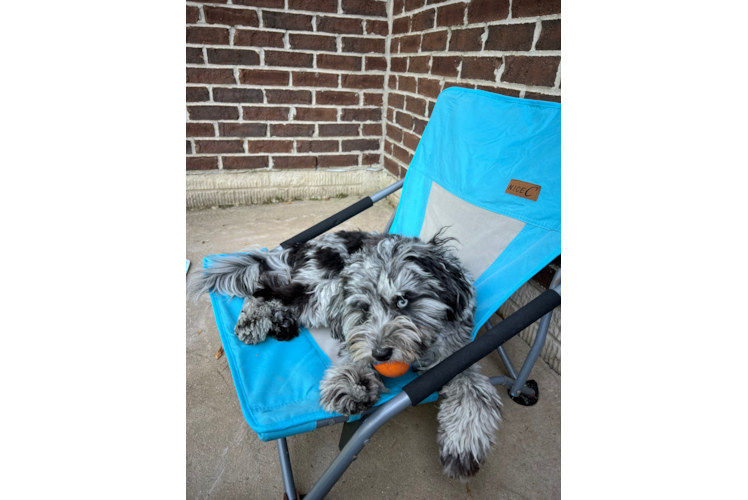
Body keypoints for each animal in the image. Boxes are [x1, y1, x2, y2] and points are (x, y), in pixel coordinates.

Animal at [188, 231, 502, 480]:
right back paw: (253, 320)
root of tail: (301, 247)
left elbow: (475, 389)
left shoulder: (457, 354)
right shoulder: (347, 314)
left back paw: (281, 322)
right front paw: (355, 381)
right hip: (322, 289)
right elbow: (354, 343)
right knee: (265, 290)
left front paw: (465, 442)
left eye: (403, 301)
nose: (382, 354)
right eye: (363, 307)